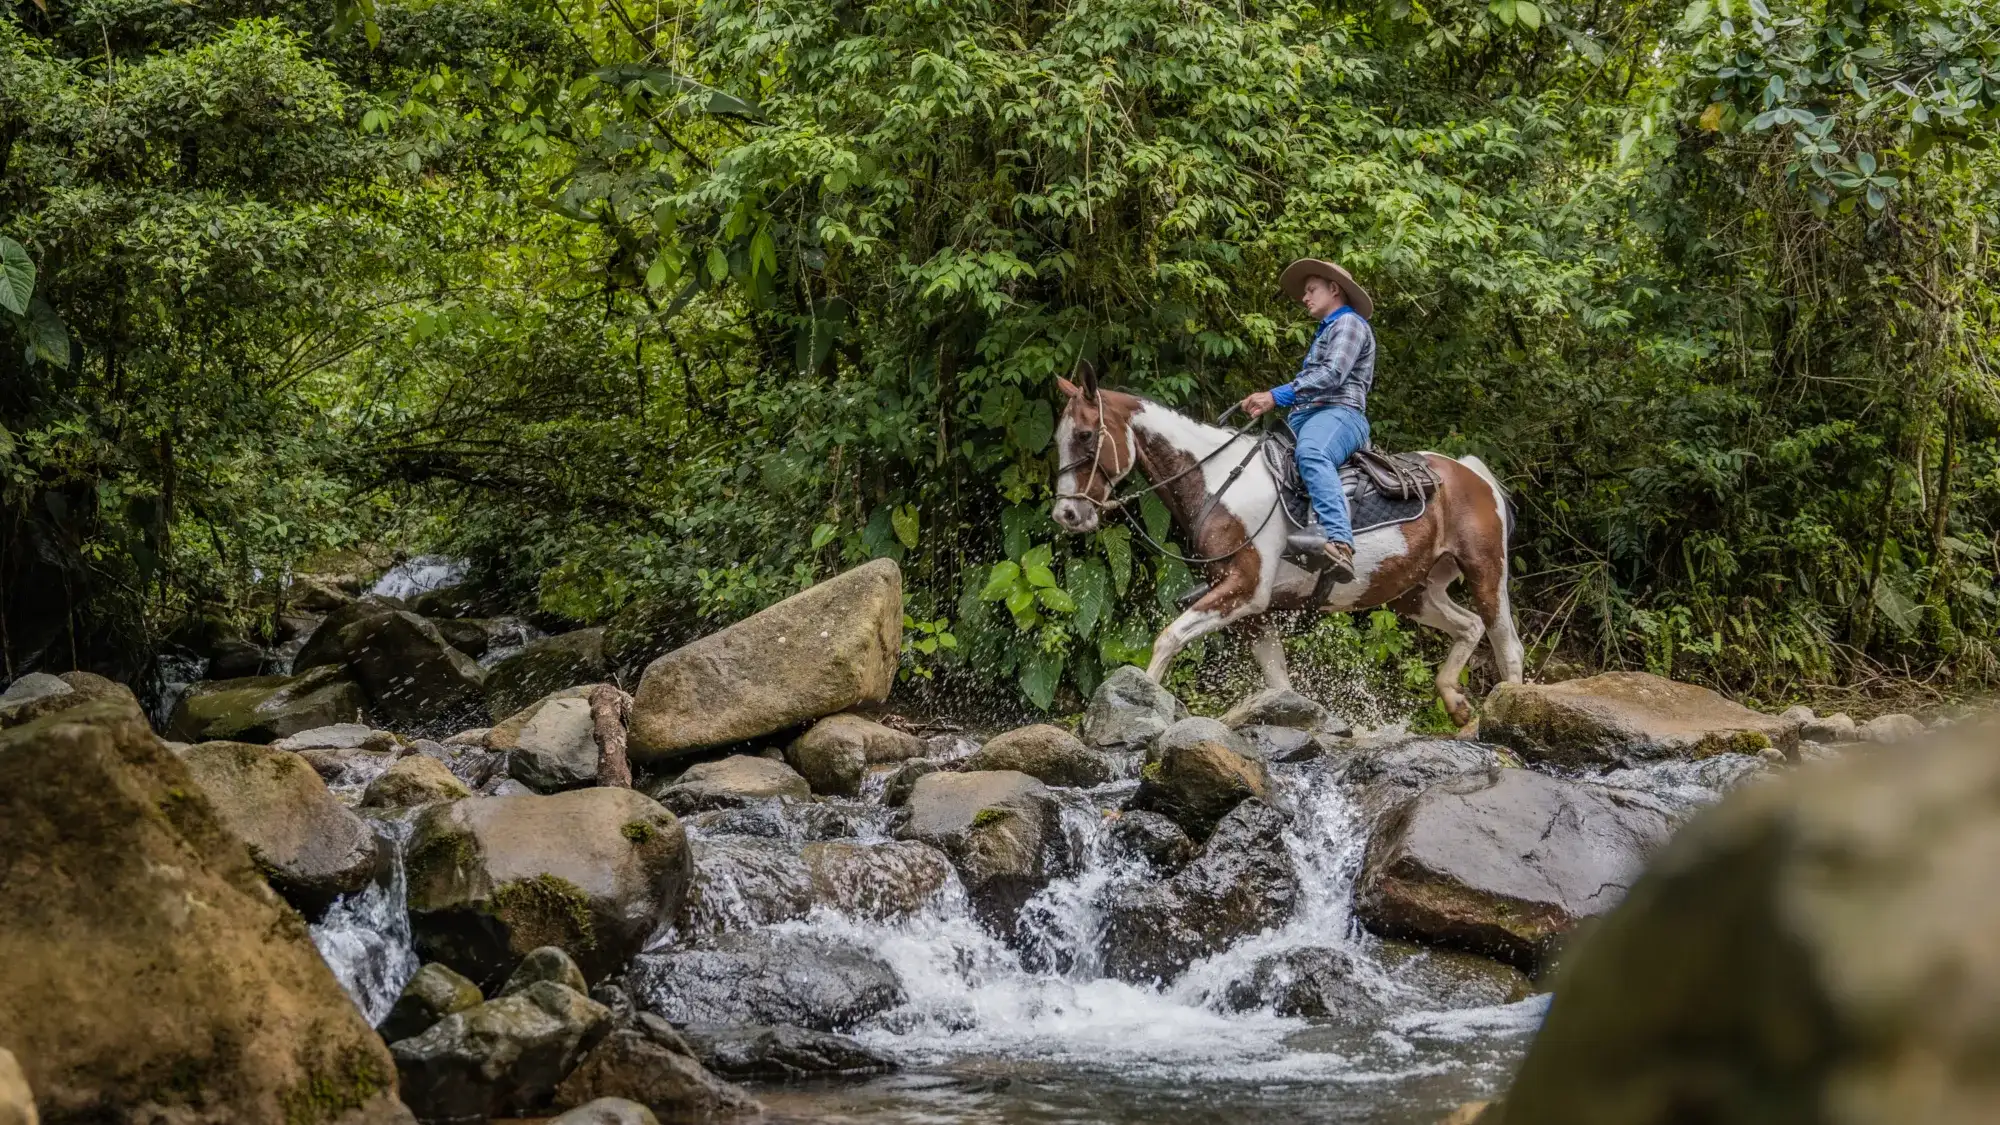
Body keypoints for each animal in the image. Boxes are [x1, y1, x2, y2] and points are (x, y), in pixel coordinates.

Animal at [1056, 368, 1520, 716]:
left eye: (1085, 435)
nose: (1066, 514)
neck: (1218, 481)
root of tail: (1470, 471)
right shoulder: (1252, 613)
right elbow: (1280, 684)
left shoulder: (1245, 590)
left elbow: (1168, 638)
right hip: (1414, 590)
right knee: (1469, 625)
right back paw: (1455, 702)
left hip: (1486, 572)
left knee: (1506, 645)